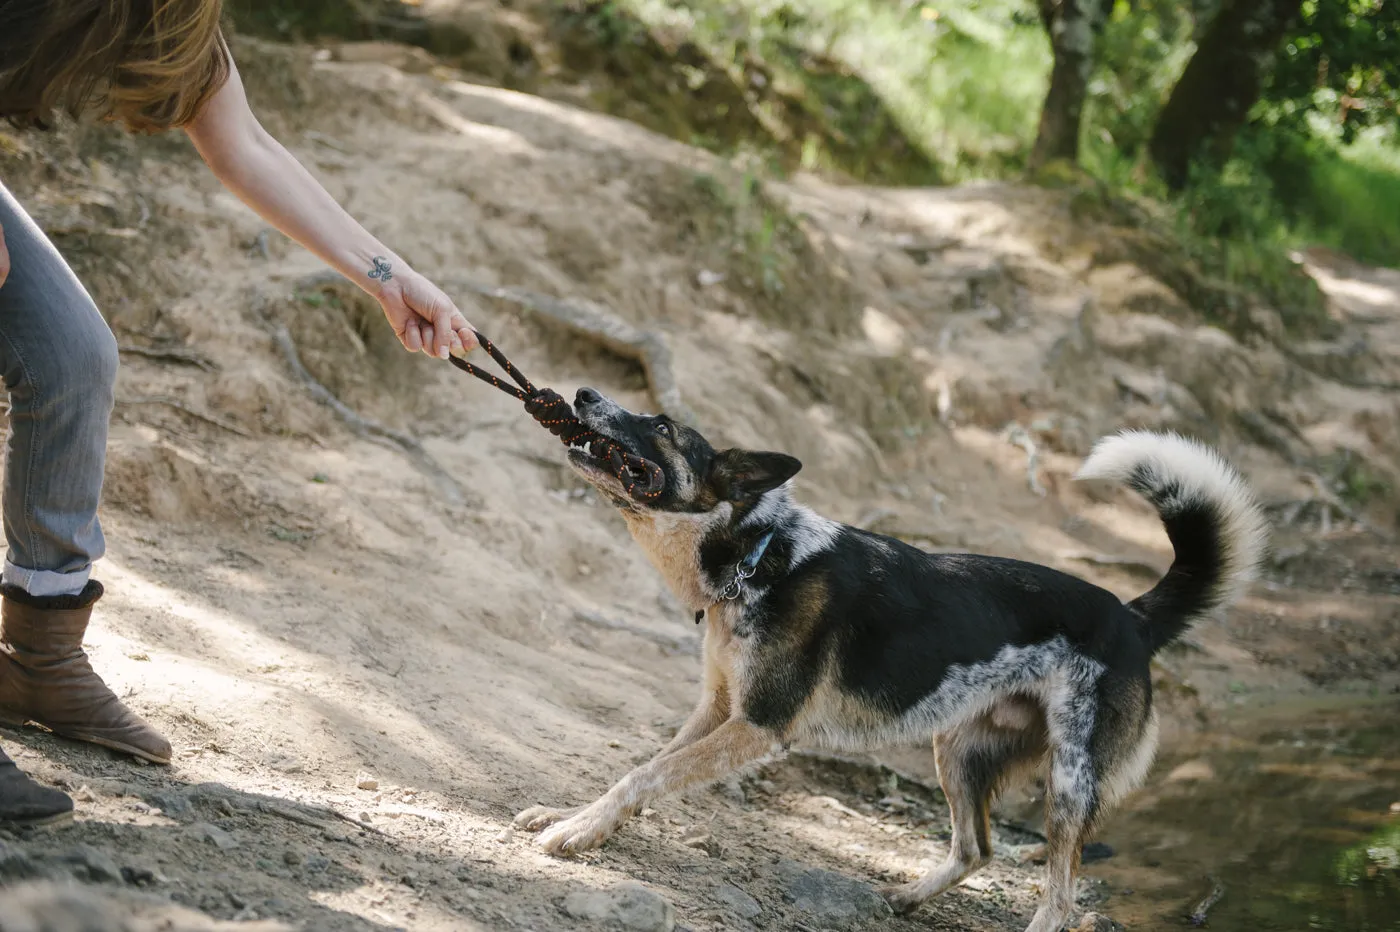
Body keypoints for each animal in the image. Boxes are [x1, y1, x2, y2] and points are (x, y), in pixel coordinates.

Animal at [518, 383, 1271, 929]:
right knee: (976, 849)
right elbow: (641, 770)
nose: (583, 392)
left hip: (1068, 783)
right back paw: (906, 899)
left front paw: (574, 832)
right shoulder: (717, 711)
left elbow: (647, 775)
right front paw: (576, 819)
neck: (758, 554)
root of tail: (1133, 617)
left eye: (665, 426)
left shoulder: (759, 726)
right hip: (958, 751)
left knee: (1058, 900)